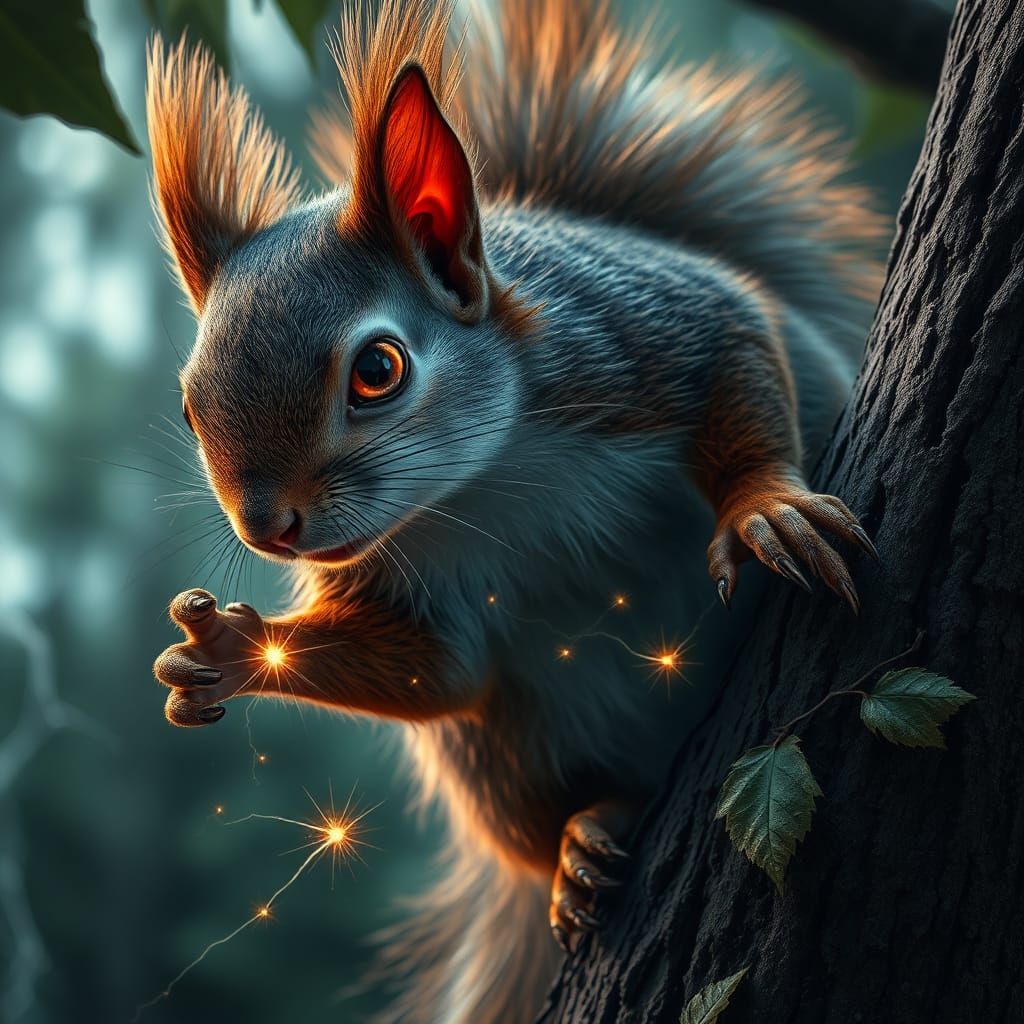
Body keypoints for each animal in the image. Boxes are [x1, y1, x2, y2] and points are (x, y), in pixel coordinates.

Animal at [145, 1, 884, 1021]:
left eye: (378, 370)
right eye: (187, 407)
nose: (268, 528)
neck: (480, 487)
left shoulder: (643, 333)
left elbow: (737, 350)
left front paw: (765, 510)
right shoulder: (413, 586)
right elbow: (439, 671)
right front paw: (224, 650)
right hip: (504, 761)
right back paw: (587, 837)